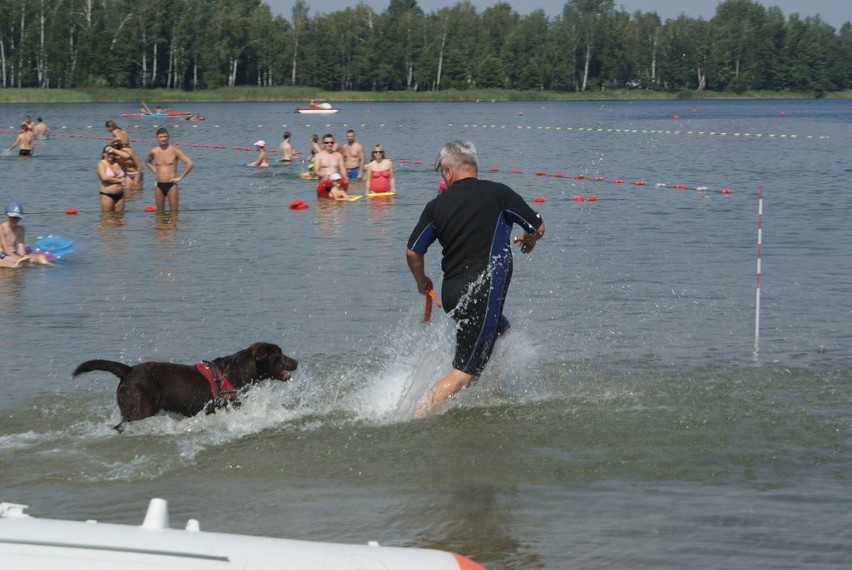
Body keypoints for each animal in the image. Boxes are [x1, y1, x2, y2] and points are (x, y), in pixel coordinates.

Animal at [74, 340, 300, 428]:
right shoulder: (227, 404)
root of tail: (128, 370)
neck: (236, 371)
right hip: (138, 408)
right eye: (279, 355)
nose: (296, 362)